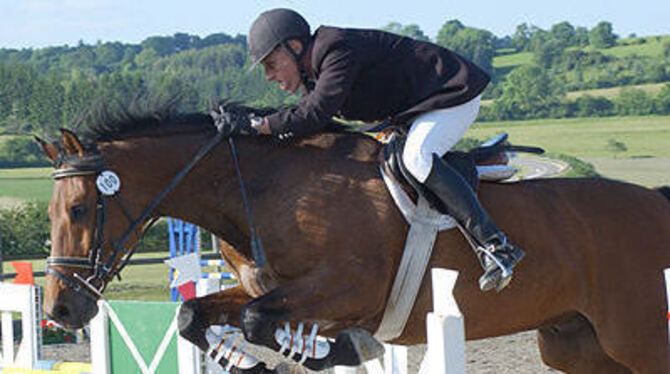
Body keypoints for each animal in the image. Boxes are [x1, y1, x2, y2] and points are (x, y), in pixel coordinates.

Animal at [38, 100, 670, 374]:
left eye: (79, 207)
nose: (60, 311)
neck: (260, 185)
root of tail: (656, 201)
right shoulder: (268, 289)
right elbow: (196, 316)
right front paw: (249, 362)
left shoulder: (349, 290)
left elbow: (259, 322)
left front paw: (331, 351)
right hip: (575, 345)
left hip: (637, 340)